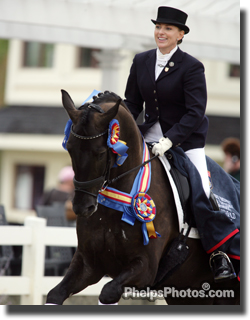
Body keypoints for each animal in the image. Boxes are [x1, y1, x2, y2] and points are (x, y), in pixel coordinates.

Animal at [45, 90, 240, 304]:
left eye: (101, 152)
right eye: (70, 148)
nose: (82, 207)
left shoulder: (145, 268)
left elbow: (107, 292)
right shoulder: (88, 264)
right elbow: (55, 293)